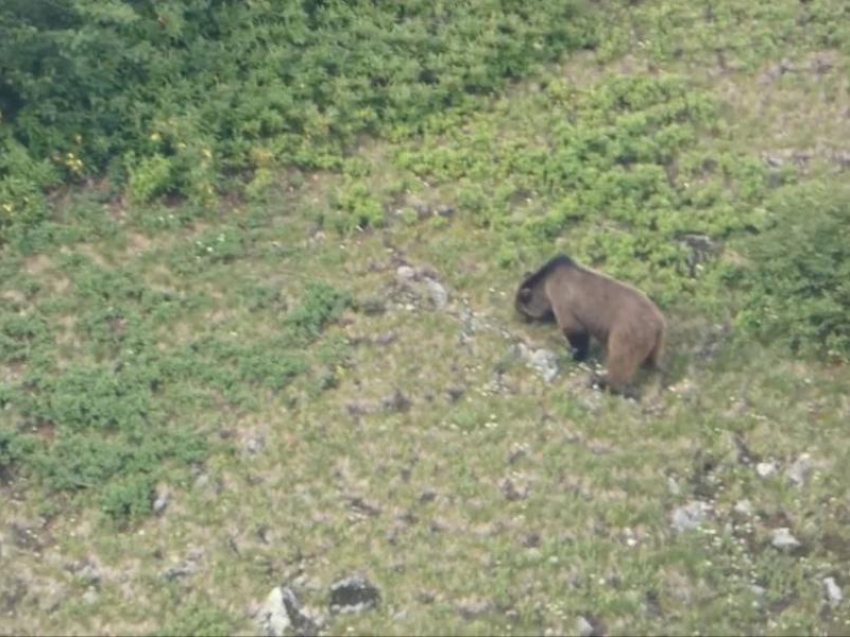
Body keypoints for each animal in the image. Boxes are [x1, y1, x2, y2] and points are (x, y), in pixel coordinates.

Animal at [512, 252, 664, 392]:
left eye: (521, 310)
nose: (522, 321)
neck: (546, 285)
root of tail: (658, 322)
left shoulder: (564, 300)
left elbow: (575, 331)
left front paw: (574, 355)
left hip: (628, 331)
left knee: (621, 359)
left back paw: (602, 381)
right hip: (653, 342)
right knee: (650, 361)